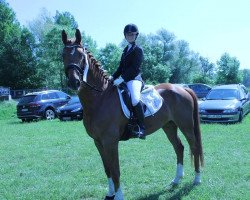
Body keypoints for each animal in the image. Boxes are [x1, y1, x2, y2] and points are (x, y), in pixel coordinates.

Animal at [61, 28, 204, 199]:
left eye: (81, 56)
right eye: (63, 55)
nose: (74, 82)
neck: (99, 99)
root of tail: (183, 88)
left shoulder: (110, 142)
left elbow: (116, 170)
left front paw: (118, 196)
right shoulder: (98, 142)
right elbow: (107, 168)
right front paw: (110, 193)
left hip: (186, 126)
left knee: (194, 146)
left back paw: (197, 179)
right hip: (169, 126)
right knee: (179, 147)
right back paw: (176, 180)